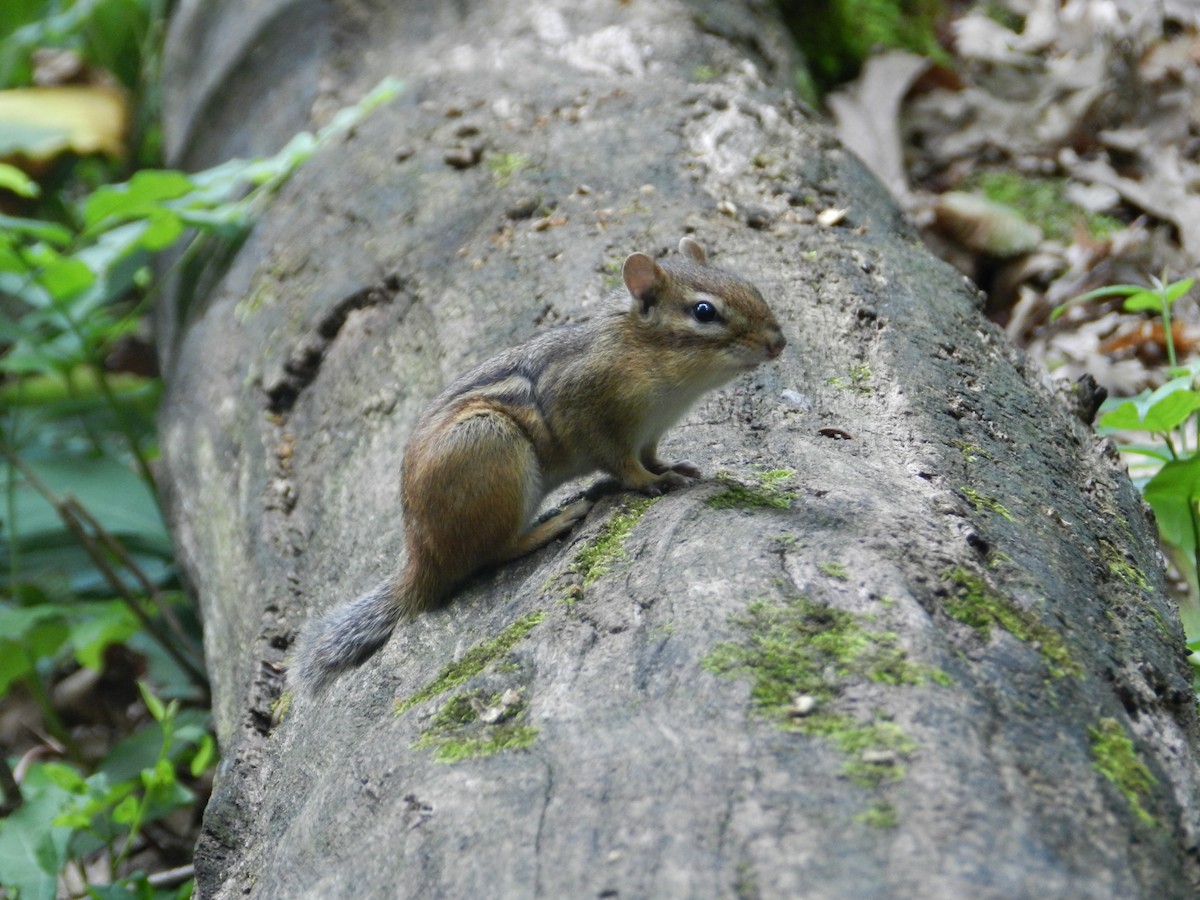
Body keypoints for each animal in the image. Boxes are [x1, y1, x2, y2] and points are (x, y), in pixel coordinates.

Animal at [292, 237, 786, 695]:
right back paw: (553, 523)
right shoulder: (593, 419)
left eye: (750, 286)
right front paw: (653, 481)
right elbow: (623, 466)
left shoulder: (650, 432)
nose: (778, 343)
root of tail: (423, 558)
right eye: (704, 311)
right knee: (488, 554)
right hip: (491, 444)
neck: (647, 354)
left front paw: (674, 467)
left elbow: (650, 454)